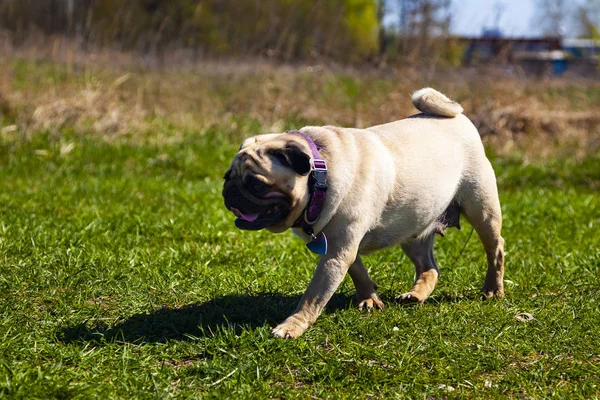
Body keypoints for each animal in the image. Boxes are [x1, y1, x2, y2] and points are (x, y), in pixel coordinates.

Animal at [223, 87, 504, 338]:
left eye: (257, 184)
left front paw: (293, 325)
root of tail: (459, 119)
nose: (230, 192)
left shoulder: (336, 253)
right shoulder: (342, 247)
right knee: (429, 267)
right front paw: (370, 299)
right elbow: (357, 271)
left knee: (496, 249)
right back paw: (415, 295)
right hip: (413, 225)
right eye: (228, 177)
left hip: (482, 209)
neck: (321, 175)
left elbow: (314, 296)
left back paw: (493, 290)